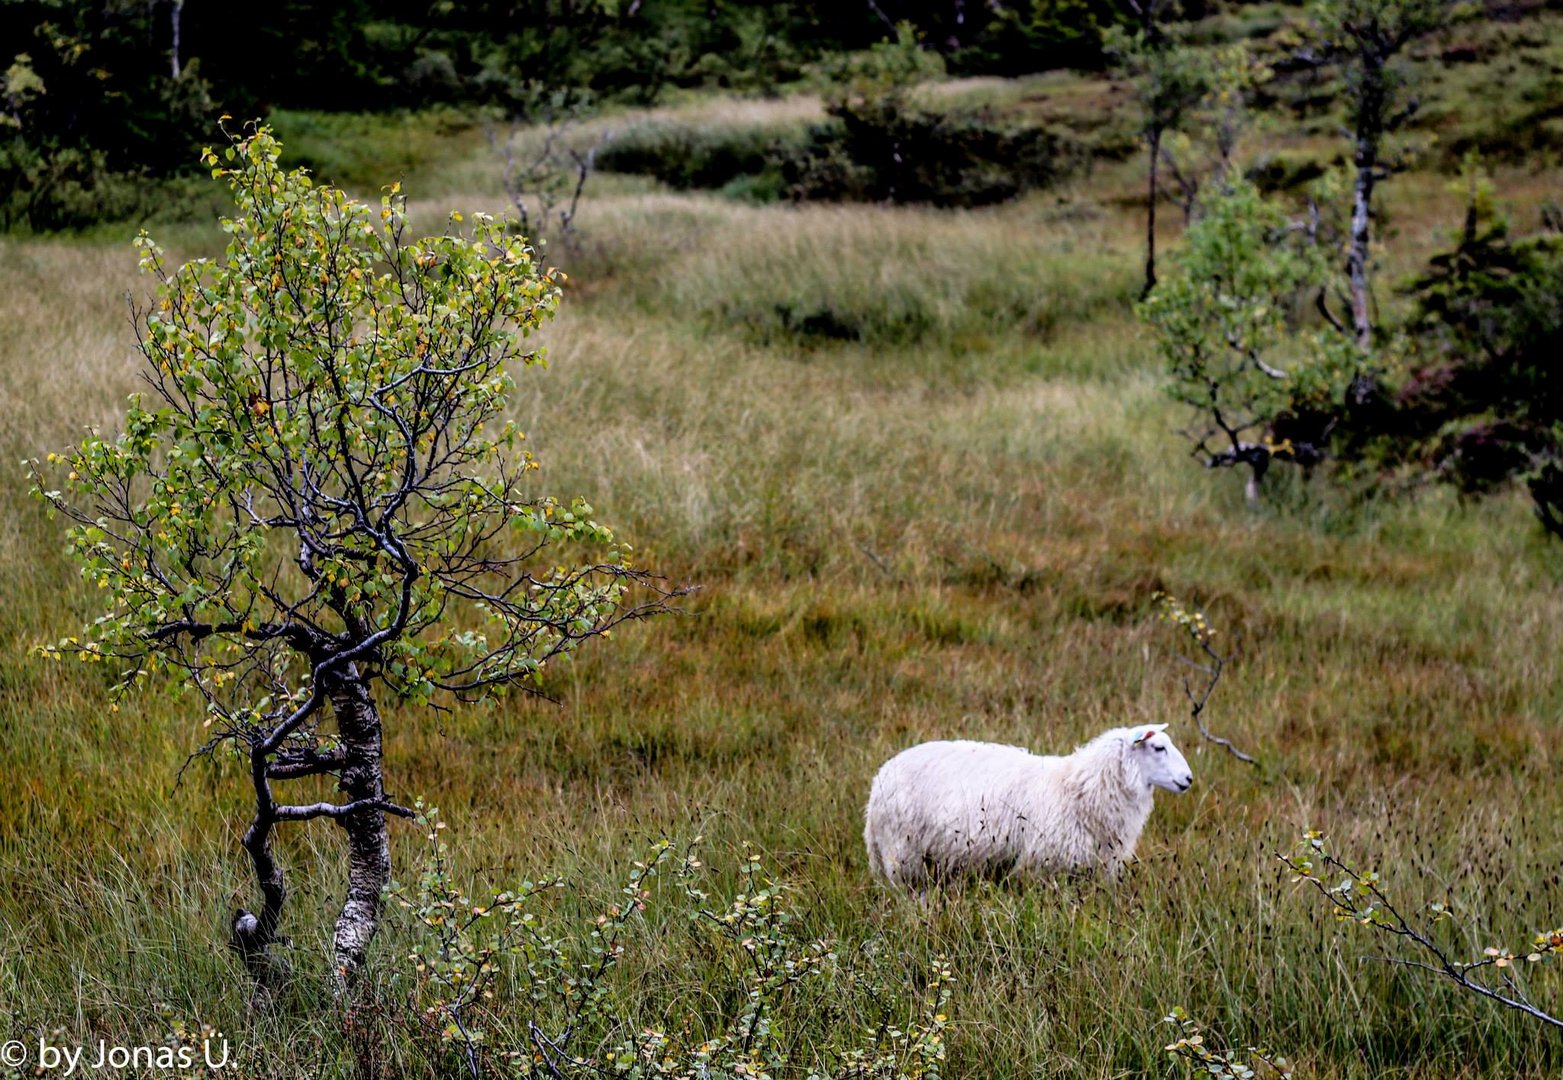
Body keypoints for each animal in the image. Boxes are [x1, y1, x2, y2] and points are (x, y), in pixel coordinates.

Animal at [862, 725, 1187, 887]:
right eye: (1158, 747)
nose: (1189, 779)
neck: (1078, 788)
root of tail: (878, 781)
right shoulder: (1043, 867)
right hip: (903, 855)